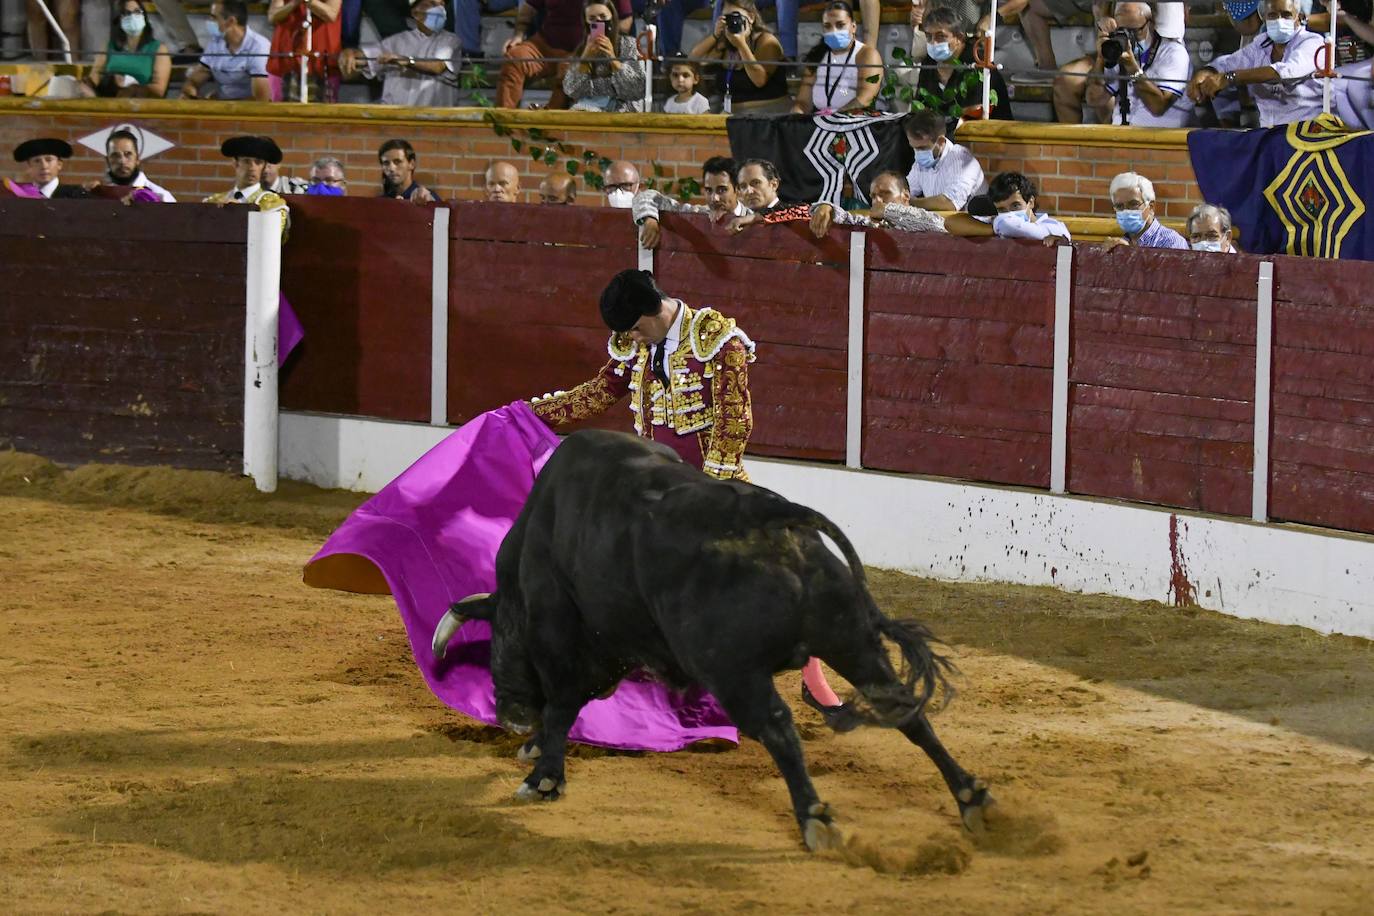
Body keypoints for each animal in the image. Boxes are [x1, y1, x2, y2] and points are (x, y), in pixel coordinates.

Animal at [431, 433, 989, 851]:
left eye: (500, 642)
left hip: (731, 670)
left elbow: (565, 701)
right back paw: (972, 799)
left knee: (778, 727)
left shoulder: (564, 633)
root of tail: (775, 521)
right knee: (905, 710)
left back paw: (816, 818)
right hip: (850, 640)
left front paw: (543, 775)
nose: (508, 714)